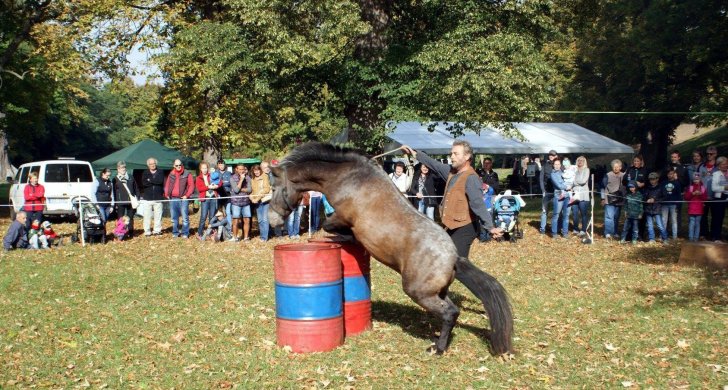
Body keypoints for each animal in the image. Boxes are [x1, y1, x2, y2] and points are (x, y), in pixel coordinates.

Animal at [268, 142, 512, 354]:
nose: (273, 221)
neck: (348, 177)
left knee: (450, 313)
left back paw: (438, 348)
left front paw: (343, 237)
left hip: (419, 292)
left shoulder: (342, 216)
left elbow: (329, 225)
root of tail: (454, 258)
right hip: (437, 292)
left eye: (274, 187)